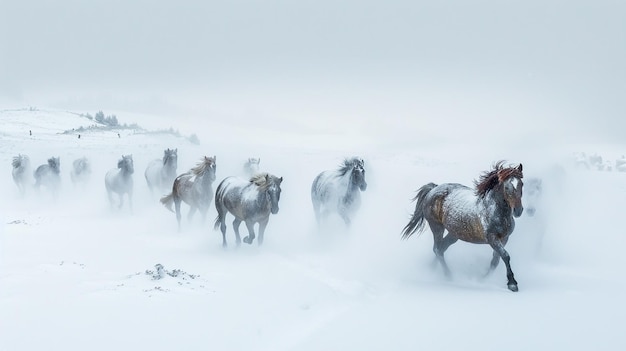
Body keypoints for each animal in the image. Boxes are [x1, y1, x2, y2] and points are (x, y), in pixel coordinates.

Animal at [400, 162, 520, 292]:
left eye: (521, 184)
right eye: (507, 188)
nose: (518, 211)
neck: (493, 210)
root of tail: (434, 188)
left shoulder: (504, 238)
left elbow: (496, 260)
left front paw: (484, 279)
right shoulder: (492, 238)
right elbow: (505, 256)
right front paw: (512, 284)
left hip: (455, 233)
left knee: (441, 248)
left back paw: (431, 270)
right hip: (437, 226)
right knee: (437, 249)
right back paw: (448, 275)